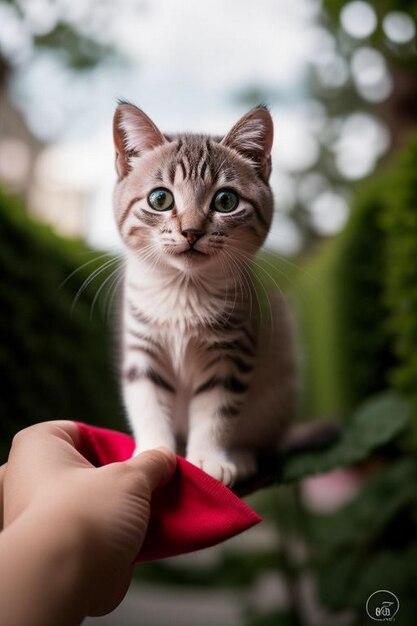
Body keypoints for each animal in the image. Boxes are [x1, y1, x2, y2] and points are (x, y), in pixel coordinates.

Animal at [112, 102, 298, 486]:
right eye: (160, 198)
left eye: (225, 201)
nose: (192, 231)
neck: (184, 291)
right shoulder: (142, 350)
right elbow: (148, 403)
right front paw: (154, 452)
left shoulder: (232, 353)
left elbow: (216, 412)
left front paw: (208, 460)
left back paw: (240, 456)